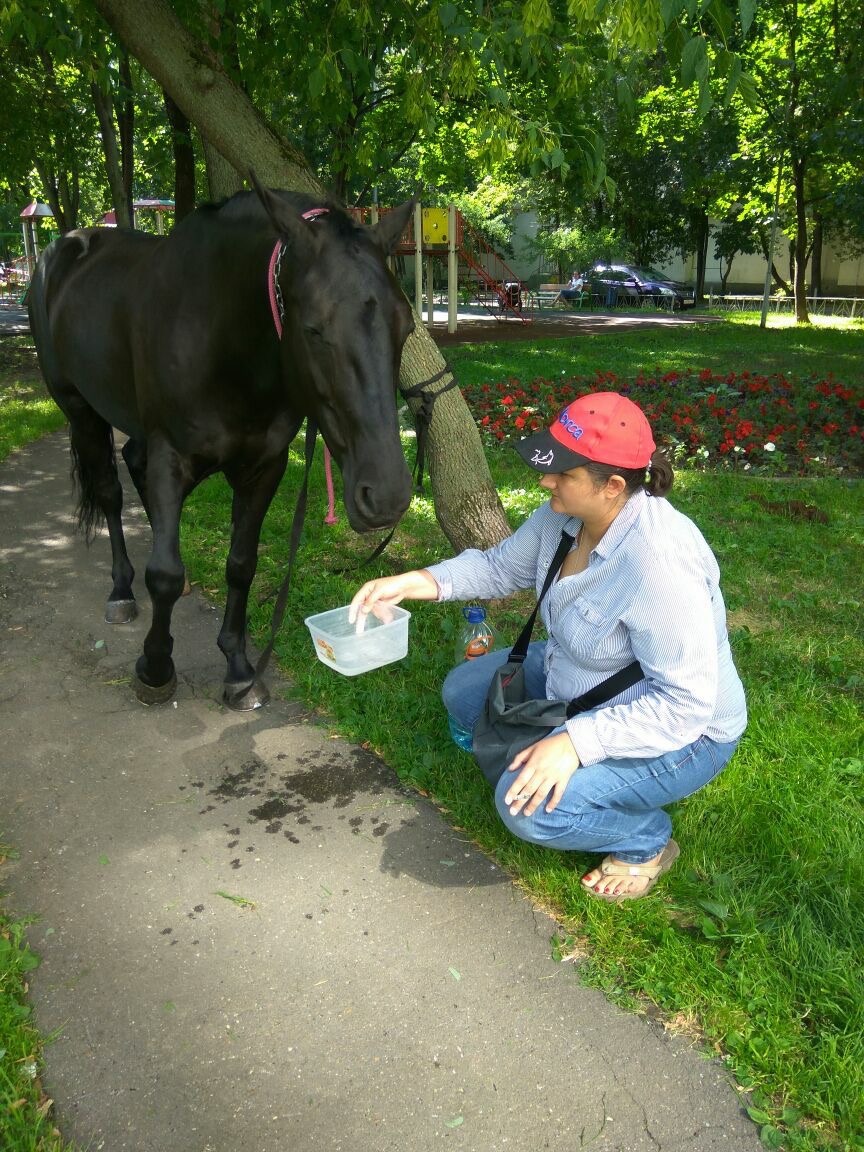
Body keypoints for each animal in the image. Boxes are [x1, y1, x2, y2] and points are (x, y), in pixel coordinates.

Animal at [28, 178, 417, 705]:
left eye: (407, 326)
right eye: (314, 329)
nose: (387, 496)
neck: (222, 339)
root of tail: (62, 248)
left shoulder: (263, 465)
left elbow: (241, 563)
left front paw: (238, 666)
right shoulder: (171, 455)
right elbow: (163, 574)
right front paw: (155, 668)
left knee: (133, 462)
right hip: (80, 409)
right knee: (109, 492)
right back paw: (122, 592)